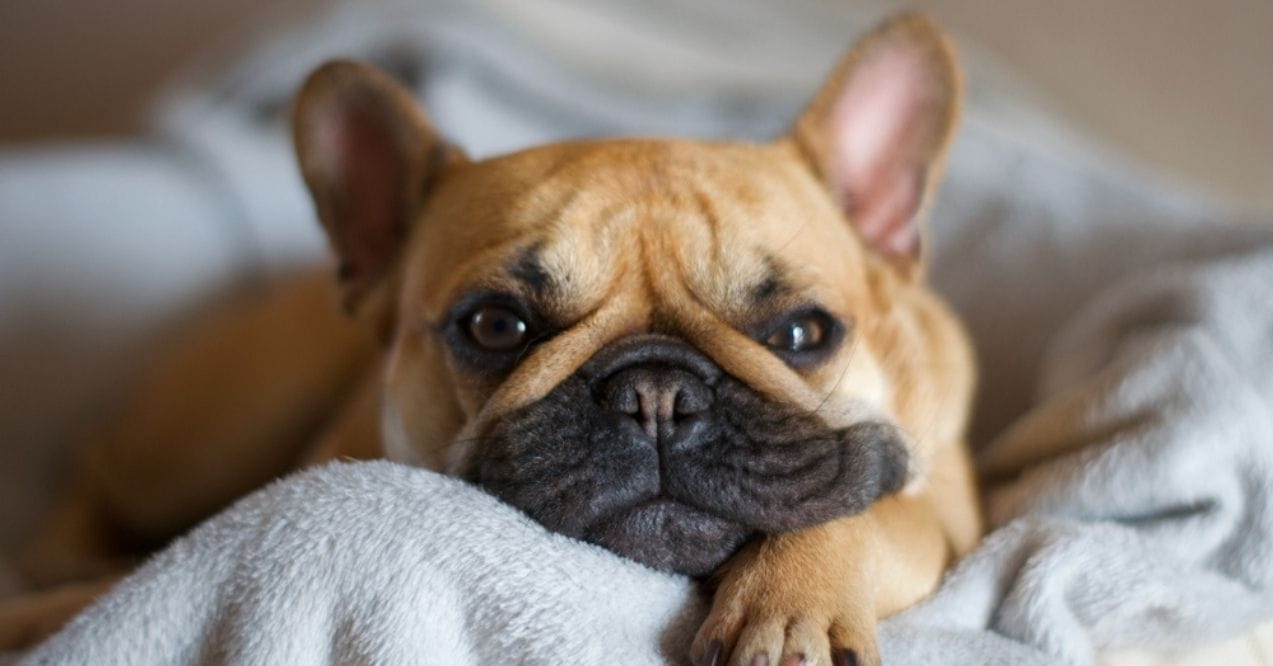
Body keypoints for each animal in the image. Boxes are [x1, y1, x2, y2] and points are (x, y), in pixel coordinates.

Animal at [0, 13, 977, 662]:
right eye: (495, 325)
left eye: (803, 331)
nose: (656, 393)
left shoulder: (949, 512)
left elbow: (866, 511)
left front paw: (790, 609)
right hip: (206, 437)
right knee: (93, 468)